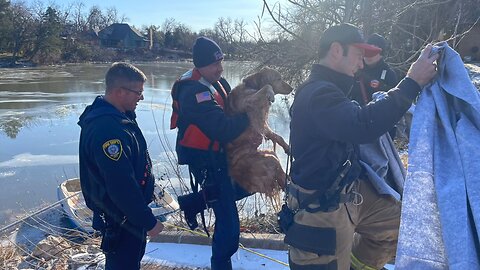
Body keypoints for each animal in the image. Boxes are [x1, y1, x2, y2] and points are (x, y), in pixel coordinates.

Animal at [225, 66, 292, 195]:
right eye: (279, 78)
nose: (292, 88)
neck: (253, 87)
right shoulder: (250, 104)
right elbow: (267, 86)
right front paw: (271, 94)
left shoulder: (261, 122)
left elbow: (277, 136)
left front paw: (287, 147)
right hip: (267, 161)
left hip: (268, 153)